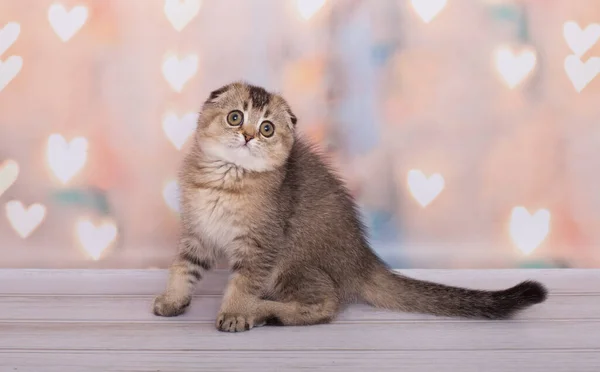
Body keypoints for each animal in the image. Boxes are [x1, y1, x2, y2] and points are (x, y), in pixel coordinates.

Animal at [152, 81, 548, 332]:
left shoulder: (261, 247)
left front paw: (234, 313)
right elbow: (183, 268)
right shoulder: (198, 233)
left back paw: (263, 312)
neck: (225, 180)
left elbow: (243, 284)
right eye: (235, 117)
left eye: (266, 128)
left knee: (324, 306)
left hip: (292, 265)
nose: (248, 136)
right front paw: (173, 300)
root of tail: (363, 260)